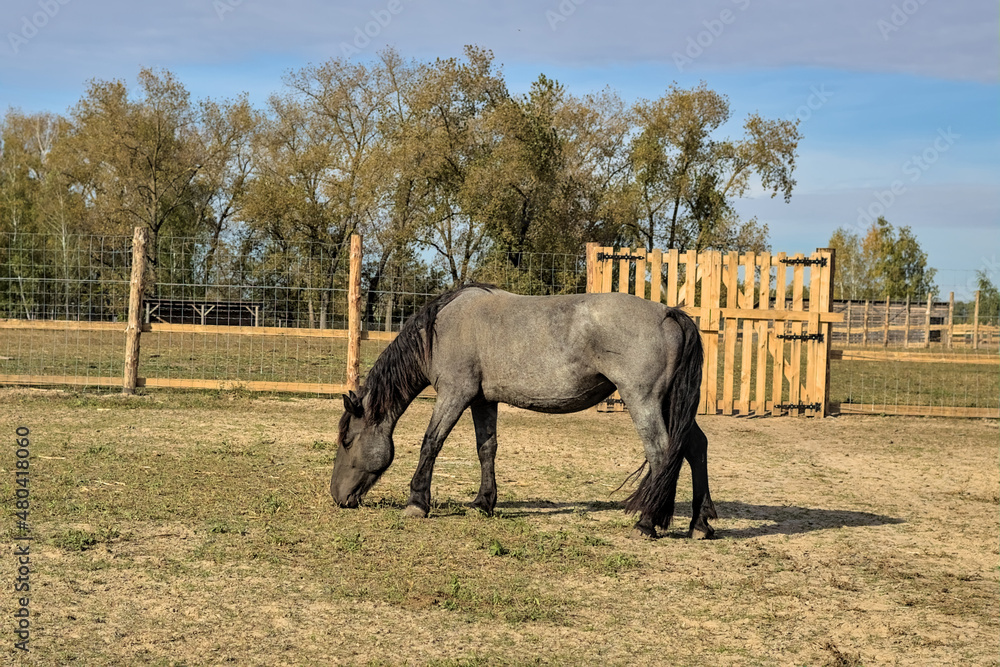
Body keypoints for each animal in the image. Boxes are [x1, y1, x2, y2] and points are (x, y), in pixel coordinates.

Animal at [329, 283, 717, 539]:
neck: (442, 328)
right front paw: (483, 502)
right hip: (670, 405)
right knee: (695, 447)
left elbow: (431, 443)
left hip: (644, 401)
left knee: (662, 453)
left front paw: (417, 502)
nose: (337, 497)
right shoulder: (483, 400)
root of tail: (668, 313)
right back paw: (700, 523)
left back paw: (647, 522)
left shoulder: (455, 394)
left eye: (346, 440)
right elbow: (486, 448)